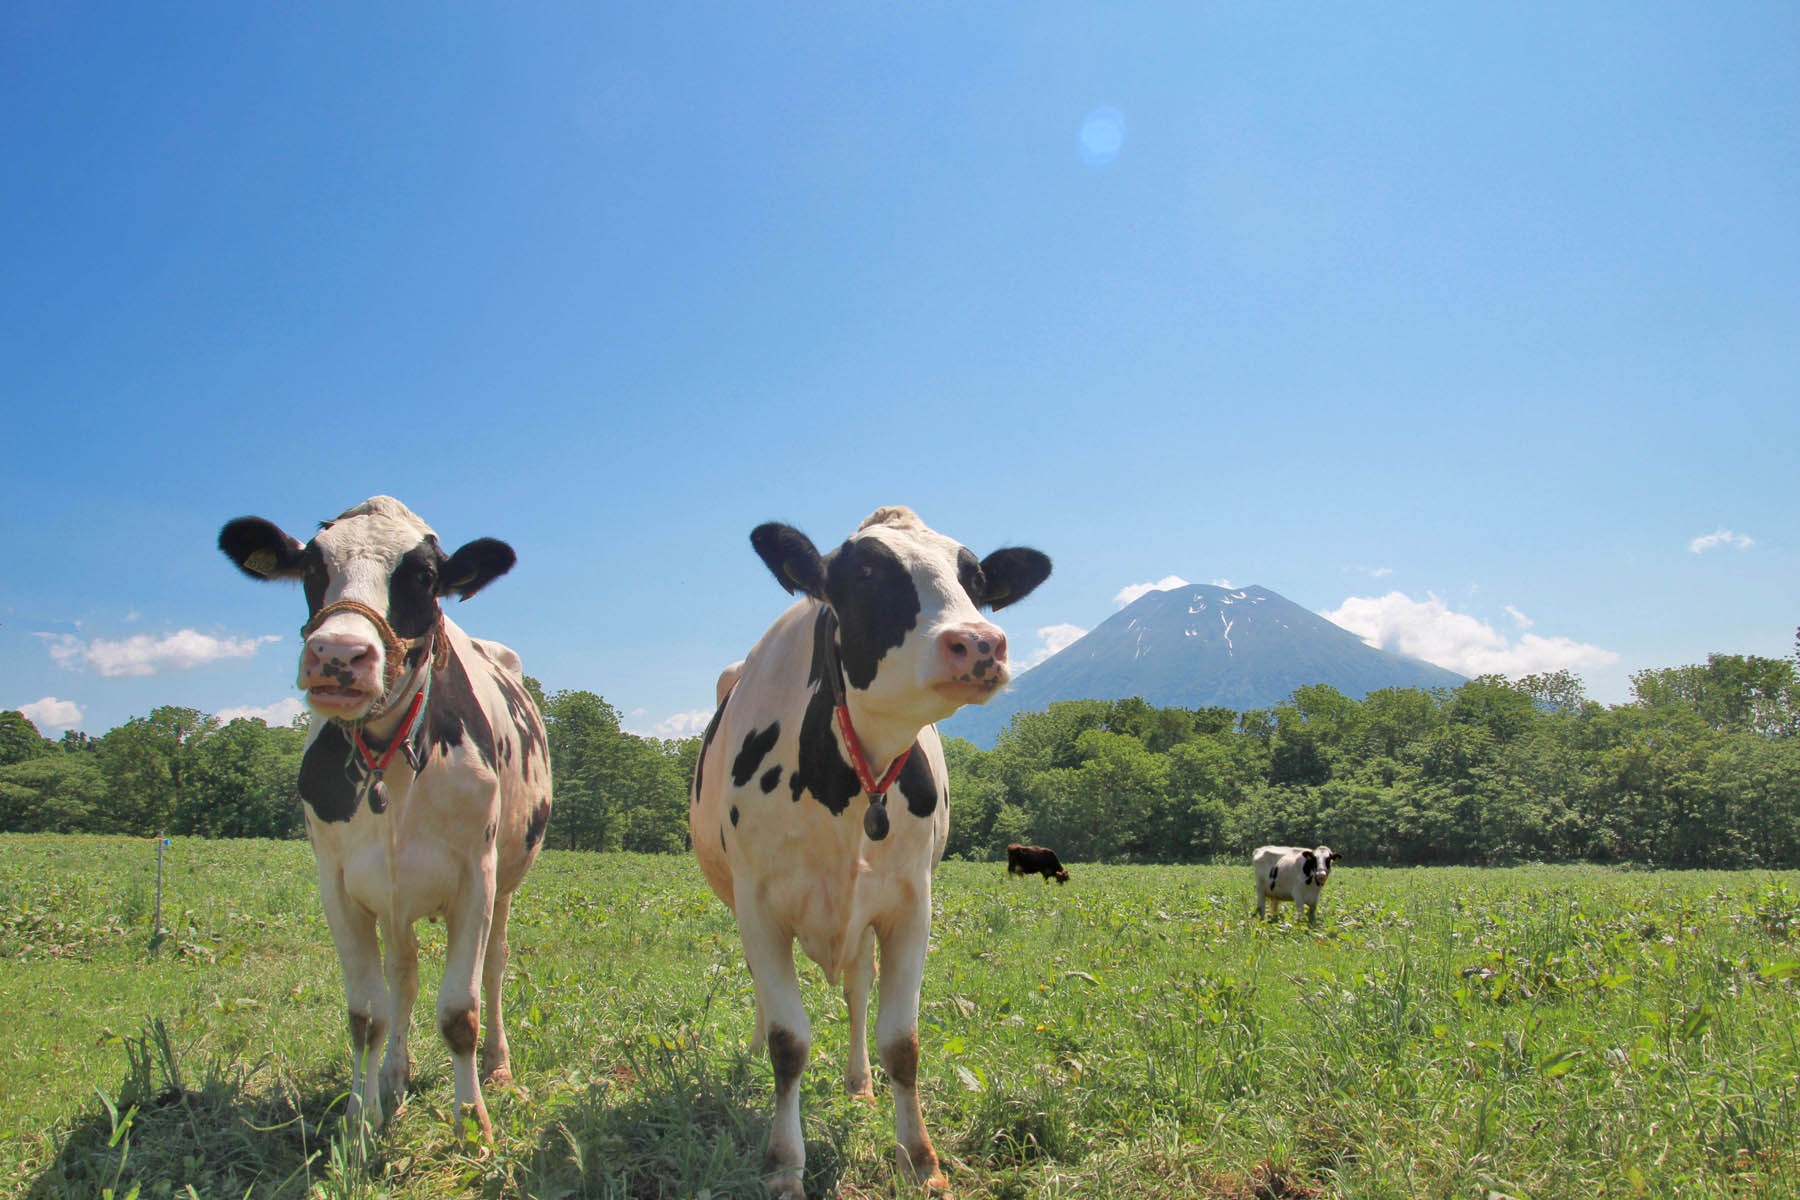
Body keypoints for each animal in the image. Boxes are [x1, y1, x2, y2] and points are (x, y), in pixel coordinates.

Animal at [215, 496, 547, 1144]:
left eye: (423, 576)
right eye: (311, 569)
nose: (338, 655)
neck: (388, 758)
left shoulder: (476, 877)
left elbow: (460, 1012)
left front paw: (472, 1124)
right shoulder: (340, 885)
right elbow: (368, 1014)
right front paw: (358, 1120)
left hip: (507, 880)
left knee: (494, 967)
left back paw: (498, 1068)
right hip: (394, 898)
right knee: (404, 975)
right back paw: (395, 1076)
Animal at [691, 507, 1051, 1200]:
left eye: (976, 580)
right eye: (862, 574)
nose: (980, 643)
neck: (846, 784)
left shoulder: (909, 905)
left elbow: (901, 1041)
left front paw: (921, 1159)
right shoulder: (759, 906)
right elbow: (788, 1042)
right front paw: (783, 1164)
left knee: (857, 990)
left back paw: (858, 1084)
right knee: (769, 1003)